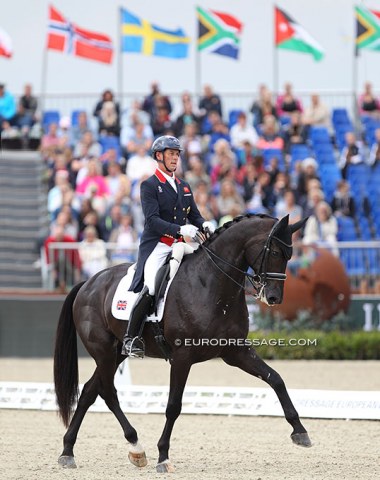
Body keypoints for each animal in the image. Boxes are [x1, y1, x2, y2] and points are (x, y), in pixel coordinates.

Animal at [55, 214, 314, 472]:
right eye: (275, 252)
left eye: (290, 255)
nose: (273, 298)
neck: (211, 285)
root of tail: (88, 283)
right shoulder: (182, 357)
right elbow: (173, 406)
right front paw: (163, 457)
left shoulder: (235, 351)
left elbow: (276, 379)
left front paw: (300, 432)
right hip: (105, 352)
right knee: (107, 392)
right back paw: (123, 446)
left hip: (117, 353)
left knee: (90, 391)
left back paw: (77, 450)